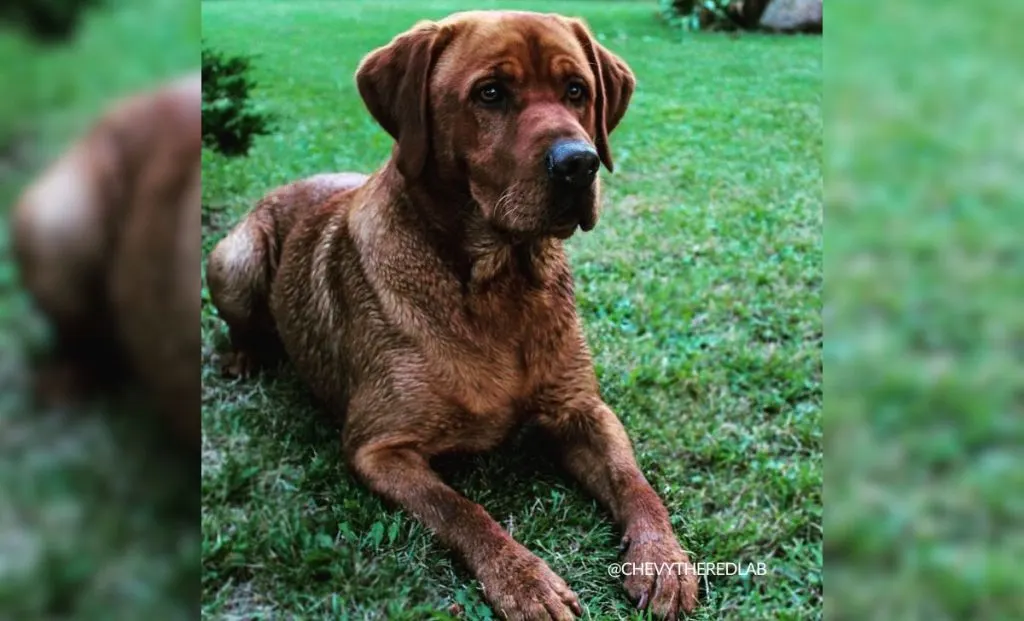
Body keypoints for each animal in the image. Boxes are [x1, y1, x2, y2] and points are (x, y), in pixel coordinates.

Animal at [207, 12, 704, 618]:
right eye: (490, 93)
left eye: (576, 91)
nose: (580, 163)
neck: (500, 285)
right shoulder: (378, 447)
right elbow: (463, 512)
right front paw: (525, 580)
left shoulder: (583, 409)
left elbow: (635, 482)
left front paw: (662, 557)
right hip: (234, 260)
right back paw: (244, 353)